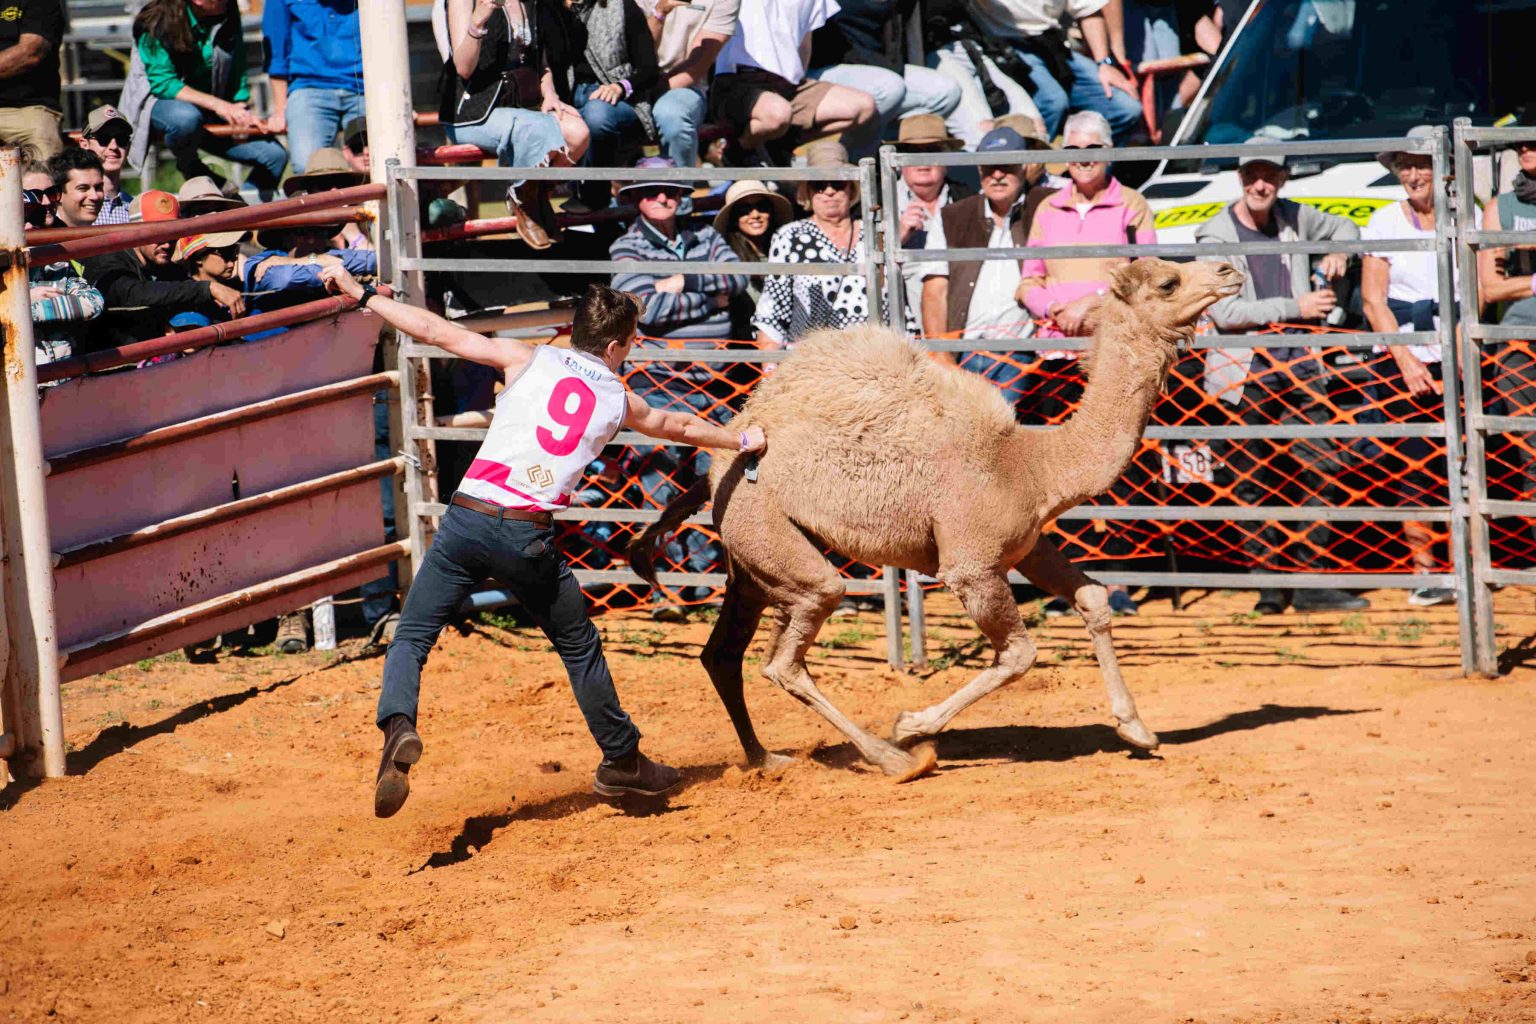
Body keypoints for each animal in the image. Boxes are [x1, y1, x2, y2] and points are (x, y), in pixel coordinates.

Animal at [628, 258, 1244, 780]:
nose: (1229, 269)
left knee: (723, 655)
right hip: (779, 545)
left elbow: (1092, 598)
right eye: (1168, 282)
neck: (1030, 465)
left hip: (752, 563)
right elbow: (1018, 654)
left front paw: (1138, 729)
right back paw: (893, 759)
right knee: (788, 653)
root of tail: (717, 466)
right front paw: (911, 725)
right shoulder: (971, 564)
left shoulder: (1025, 545)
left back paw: (765, 760)